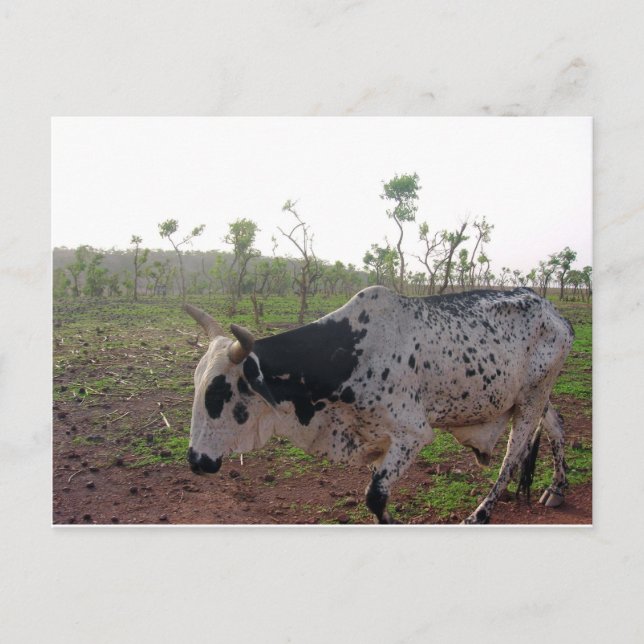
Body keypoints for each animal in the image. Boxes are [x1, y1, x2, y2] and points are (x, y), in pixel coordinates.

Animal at [184, 286, 574, 524]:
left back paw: (481, 513)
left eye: (218, 393)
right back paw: (555, 489)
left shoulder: (413, 434)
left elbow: (375, 497)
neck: (350, 355)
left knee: (513, 454)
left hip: (532, 397)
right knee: (555, 425)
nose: (196, 461)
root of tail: (556, 313)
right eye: (196, 385)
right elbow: (376, 492)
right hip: (532, 396)